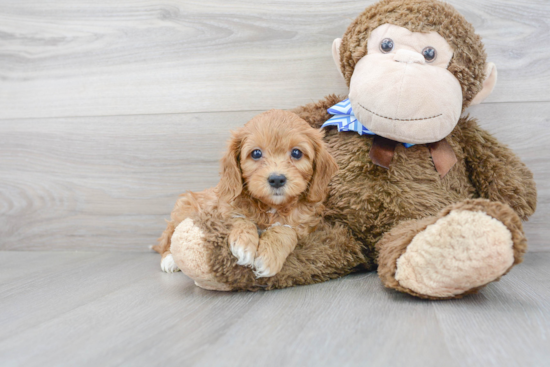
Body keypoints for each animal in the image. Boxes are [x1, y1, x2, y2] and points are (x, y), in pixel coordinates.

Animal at [153, 110, 338, 278]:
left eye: (297, 153)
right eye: (256, 153)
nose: (277, 179)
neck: (270, 206)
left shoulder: (305, 227)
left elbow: (285, 230)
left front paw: (268, 256)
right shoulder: (222, 210)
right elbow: (240, 219)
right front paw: (244, 245)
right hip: (185, 206)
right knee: (168, 236)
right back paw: (169, 259)